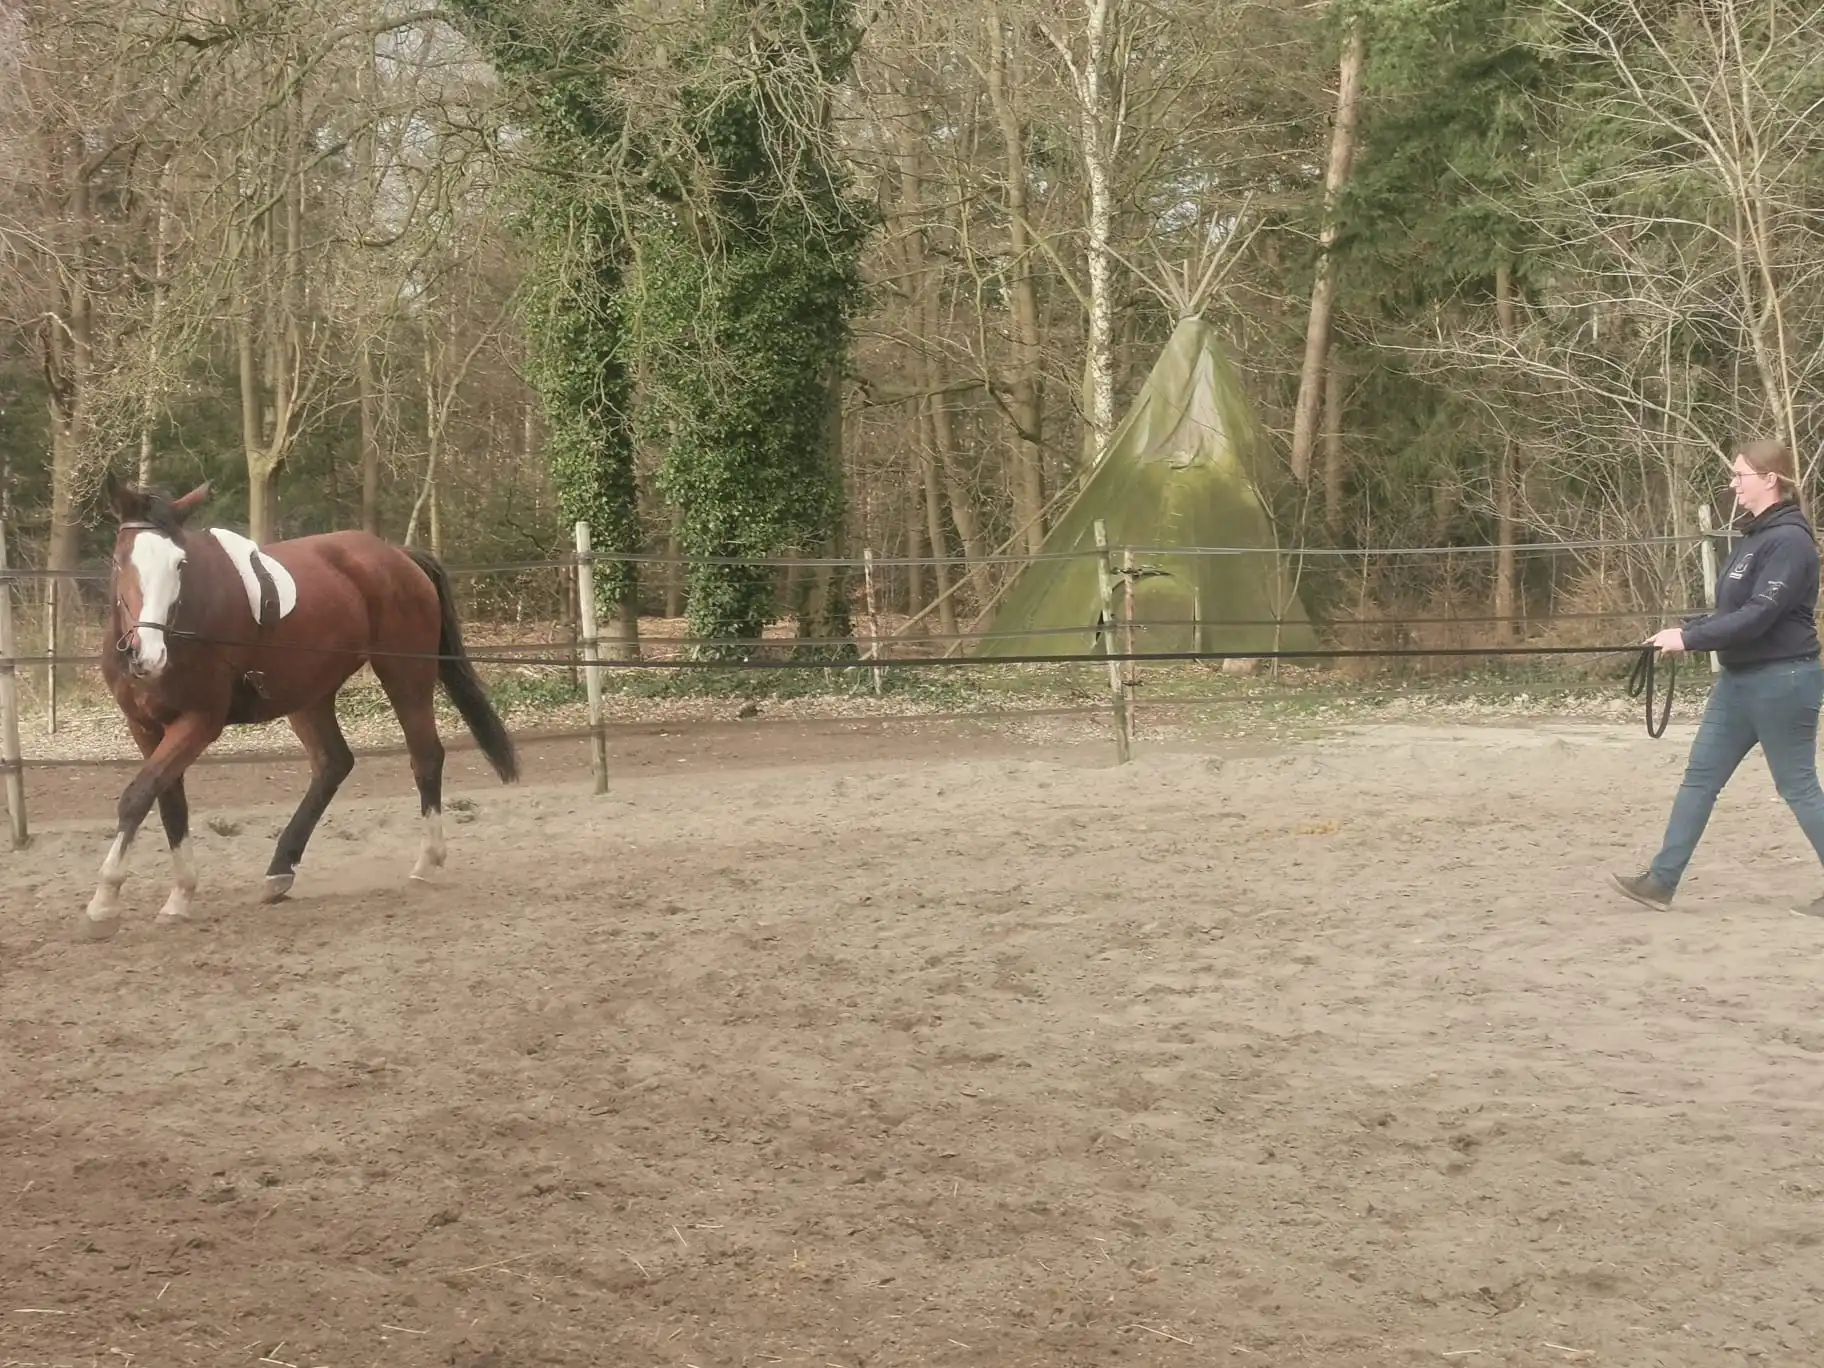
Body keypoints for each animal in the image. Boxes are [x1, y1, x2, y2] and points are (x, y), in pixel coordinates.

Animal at [83, 476, 520, 941]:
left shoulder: (199, 722)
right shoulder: (145, 727)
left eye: (179, 565)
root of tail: (398, 556)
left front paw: (104, 900)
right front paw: (180, 895)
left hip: (406, 675)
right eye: (120, 561)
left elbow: (137, 796)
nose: (147, 654)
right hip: (310, 696)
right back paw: (280, 870)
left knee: (425, 757)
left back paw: (426, 861)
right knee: (333, 763)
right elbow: (167, 801)